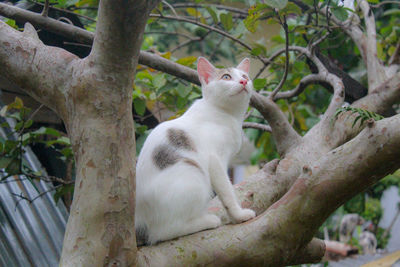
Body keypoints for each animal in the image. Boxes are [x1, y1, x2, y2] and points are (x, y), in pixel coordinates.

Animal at [135, 57, 256, 246]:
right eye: (226, 77)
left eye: (245, 76)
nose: (243, 82)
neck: (228, 115)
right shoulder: (215, 160)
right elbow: (227, 191)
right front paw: (238, 216)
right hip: (194, 176)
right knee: (163, 232)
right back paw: (207, 221)